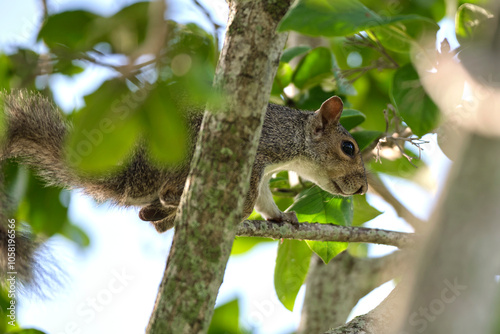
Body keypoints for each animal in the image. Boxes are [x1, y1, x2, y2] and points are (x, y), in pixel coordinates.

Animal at [0, 88, 368, 282]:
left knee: (151, 219)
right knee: (163, 196)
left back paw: (166, 216)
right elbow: (252, 197)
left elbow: (265, 200)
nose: (364, 188)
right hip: (186, 151)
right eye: (348, 147)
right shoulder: (259, 153)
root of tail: (136, 175)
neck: (294, 139)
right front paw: (247, 210)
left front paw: (282, 217)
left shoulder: (264, 173)